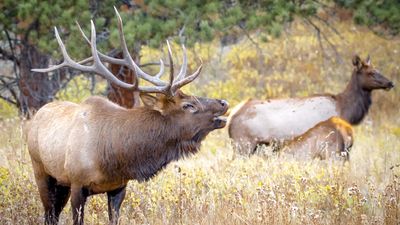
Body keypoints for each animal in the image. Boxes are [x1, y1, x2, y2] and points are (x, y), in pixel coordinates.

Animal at [25, 7, 228, 225]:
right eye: (188, 105)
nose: (224, 102)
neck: (115, 156)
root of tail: (37, 114)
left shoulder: (118, 187)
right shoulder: (77, 183)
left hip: (61, 183)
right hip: (42, 172)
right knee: (49, 213)